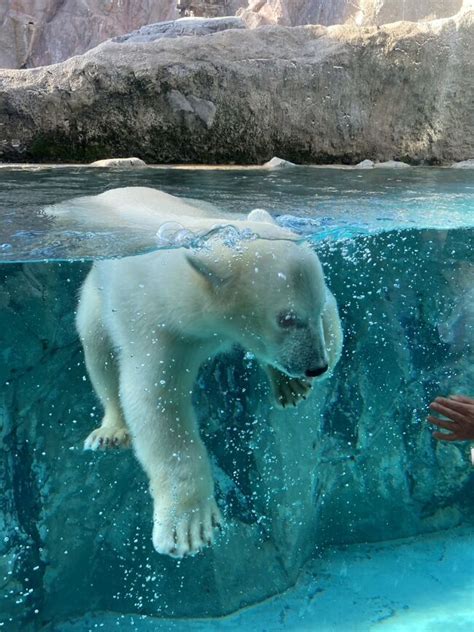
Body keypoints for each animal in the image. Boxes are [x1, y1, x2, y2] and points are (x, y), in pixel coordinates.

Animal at [70, 186, 342, 556]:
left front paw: (296, 379)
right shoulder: (158, 328)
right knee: (98, 350)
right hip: (96, 296)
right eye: (286, 319)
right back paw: (110, 431)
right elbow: (156, 404)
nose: (316, 366)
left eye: (313, 308)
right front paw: (188, 527)